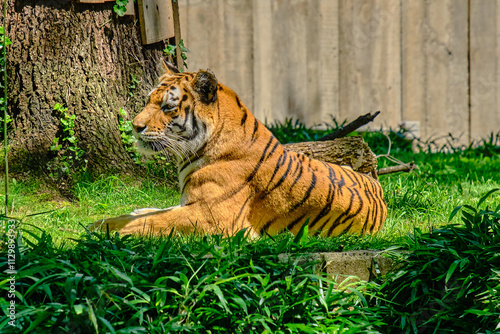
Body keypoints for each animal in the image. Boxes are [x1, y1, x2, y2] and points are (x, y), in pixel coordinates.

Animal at [89, 60, 386, 237]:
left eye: (168, 107)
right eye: (149, 100)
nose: (134, 126)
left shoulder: (214, 218)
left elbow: (155, 222)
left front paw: (101, 227)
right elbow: (155, 214)